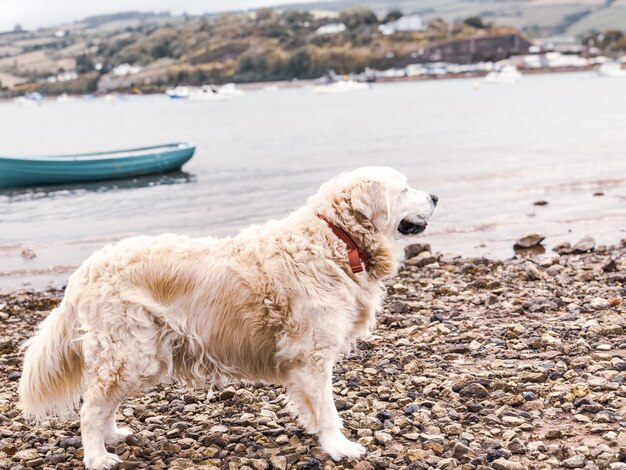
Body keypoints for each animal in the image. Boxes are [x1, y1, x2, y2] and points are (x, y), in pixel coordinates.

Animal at [15, 167, 434, 468]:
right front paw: (339, 446)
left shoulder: (301, 361)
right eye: (404, 188)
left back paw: (113, 434)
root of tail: (83, 271)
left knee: (104, 403)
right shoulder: (313, 355)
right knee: (90, 409)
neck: (335, 238)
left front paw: (316, 431)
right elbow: (329, 408)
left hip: (141, 357)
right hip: (133, 353)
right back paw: (98, 457)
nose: (434, 195)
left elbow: (311, 405)